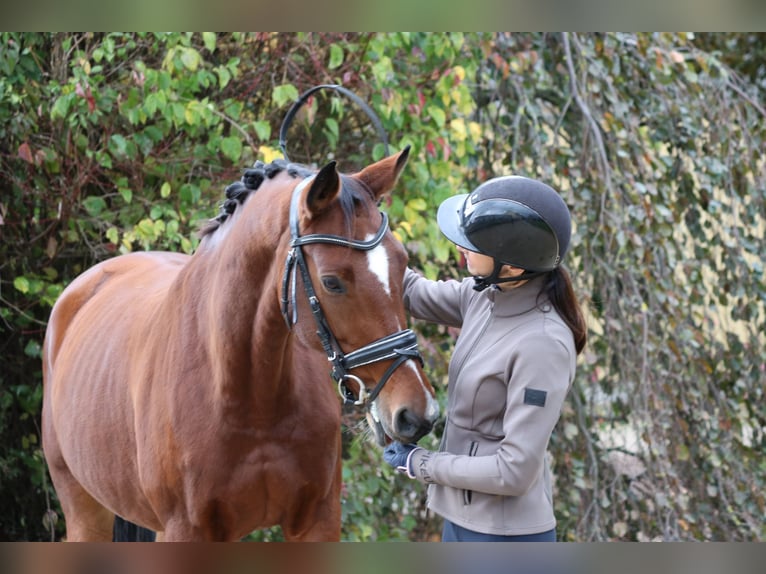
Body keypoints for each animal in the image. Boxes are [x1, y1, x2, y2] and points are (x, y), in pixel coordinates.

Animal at [41, 146, 439, 541]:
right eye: (331, 282)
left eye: (402, 264)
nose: (417, 413)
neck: (248, 397)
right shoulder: (183, 530)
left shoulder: (318, 520)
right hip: (83, 508)